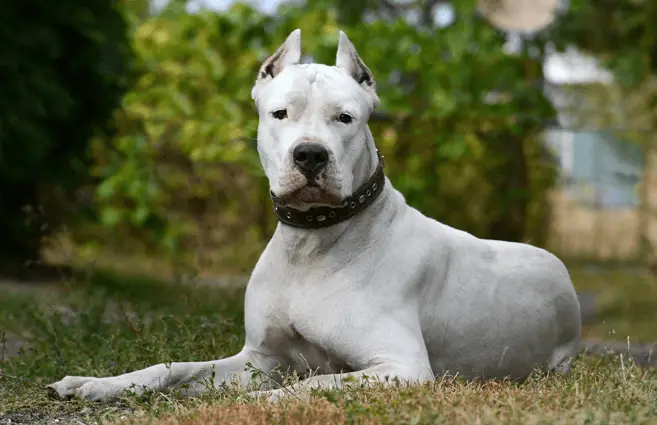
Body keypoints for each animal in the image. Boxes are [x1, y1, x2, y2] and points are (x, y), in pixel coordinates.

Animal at [48, 29, 580, 400]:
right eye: (280, 113)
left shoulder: (401, 367)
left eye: (345, 118)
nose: (309, 155)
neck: (312, 243)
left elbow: (307, 386)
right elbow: (174, 366)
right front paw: (98, 383)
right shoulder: (259, 358)